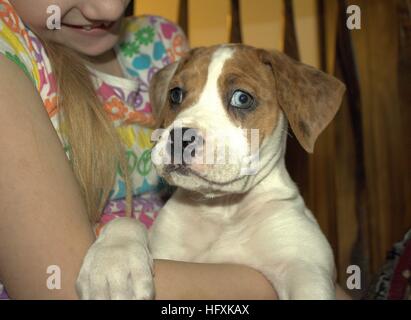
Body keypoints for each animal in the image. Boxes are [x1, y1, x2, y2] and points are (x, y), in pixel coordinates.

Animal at [75, 44, 346, 300]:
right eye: (175, 94)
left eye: (242, 98)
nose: (180, 138)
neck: (222, 210)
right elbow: (127, 221)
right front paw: (111, 264)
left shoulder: (305, 267)